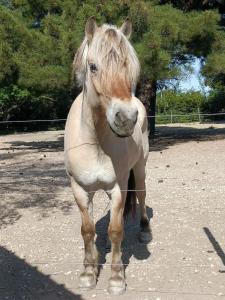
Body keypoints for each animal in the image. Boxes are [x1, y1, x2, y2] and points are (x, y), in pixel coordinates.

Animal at [64, 17, 151, 296]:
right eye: (93, 66)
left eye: (130, 67)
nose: (126, 118)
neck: (96, 142)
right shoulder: (79, 189)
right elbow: (87, 230)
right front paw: (89, 272)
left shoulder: (118, 187)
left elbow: (116, 230)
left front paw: (115, 278)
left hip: (140, 169)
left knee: (142, 196)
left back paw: (145, 230)